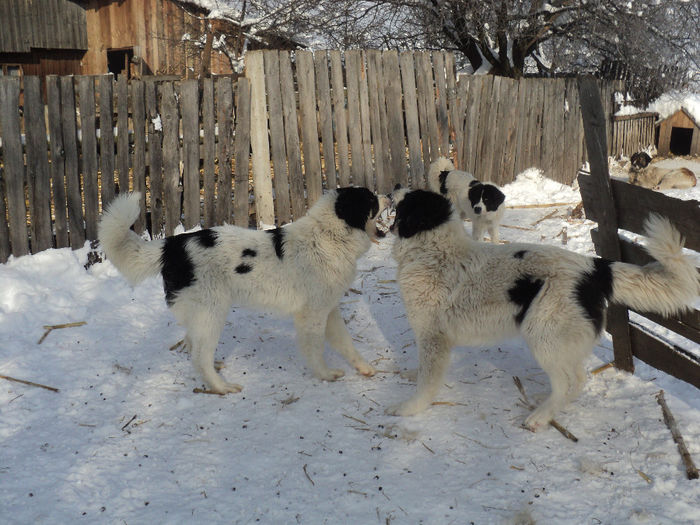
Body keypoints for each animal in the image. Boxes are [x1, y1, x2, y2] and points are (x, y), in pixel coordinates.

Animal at [99, 186, 392, 396]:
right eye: (371, 199)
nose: (390, 193)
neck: (328, 236)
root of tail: (171, 246)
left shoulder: (328, 309)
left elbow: (346, 344)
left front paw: (365, 368)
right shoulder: (312, 315)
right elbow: (315, 348)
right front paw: (325, 375)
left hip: (201, 315)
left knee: (194, 345)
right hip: (212, 313)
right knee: (199, 357)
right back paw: (221, 387)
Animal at [386, 188, 696, 430]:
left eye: (408, 198)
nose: (393, 189)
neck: (433, 249)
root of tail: (594, 269)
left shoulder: (432, 336)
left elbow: (427, 380)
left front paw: (409, 408)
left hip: (543, 337)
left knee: (566, 381)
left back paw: (540, 417)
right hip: (560, 340)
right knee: (577, 379)